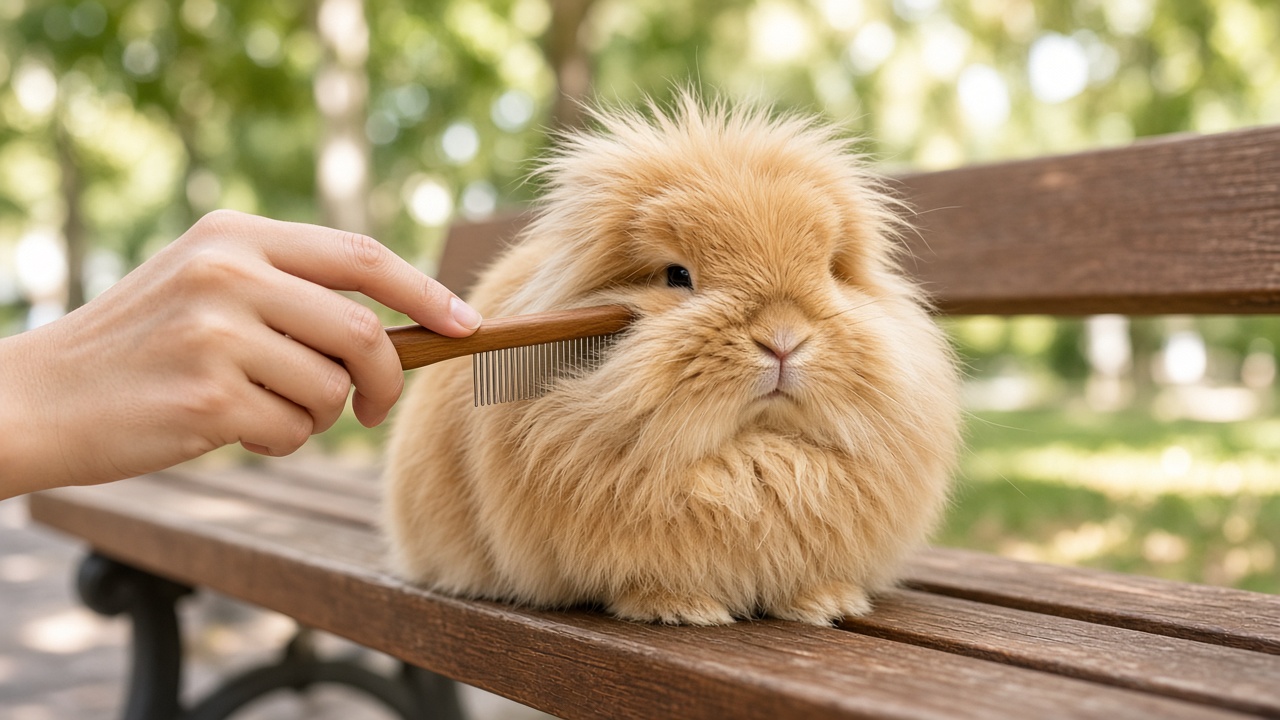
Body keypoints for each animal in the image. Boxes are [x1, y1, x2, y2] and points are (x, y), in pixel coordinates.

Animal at [383, 94, 960, 626]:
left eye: (830, 270)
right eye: (676, 276)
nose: (783, 340)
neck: (752, 454)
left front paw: (826, 603)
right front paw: (683, 609)